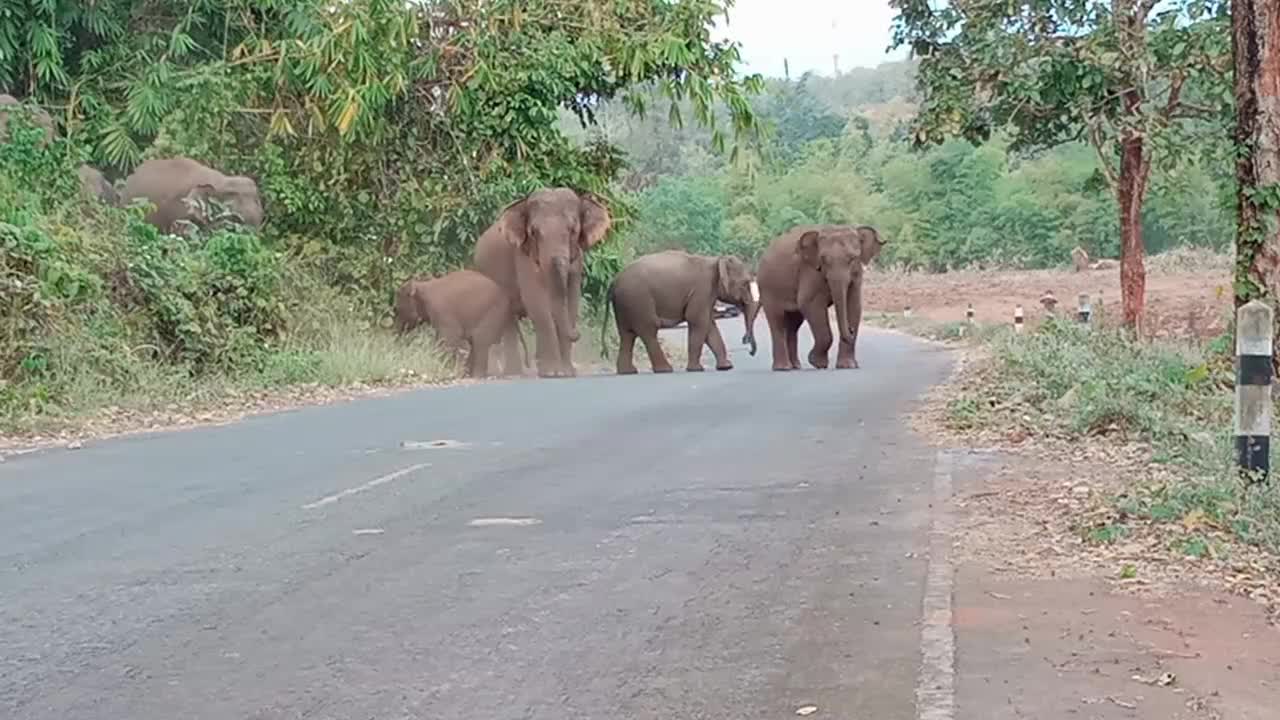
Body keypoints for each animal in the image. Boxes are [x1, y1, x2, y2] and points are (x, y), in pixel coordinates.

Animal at [391, 267, 527, 376]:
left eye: (397, 309)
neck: (422, 286)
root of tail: (508, 301)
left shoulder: (442, 311)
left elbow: (449, 338)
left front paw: (444, 369)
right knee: (476, 344)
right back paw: (467, 374)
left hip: (492, 313)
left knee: (480, 342)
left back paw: (476, 376)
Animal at [473, 184, 611, 376]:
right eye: (533, 232)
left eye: (573, 230)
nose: (577, 334)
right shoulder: (522, 256)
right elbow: (538, 303)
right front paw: (553, 373)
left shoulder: (577, 260)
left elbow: (572, 301)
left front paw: (567, 372)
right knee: (508, 320)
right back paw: (515, 372)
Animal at [601, 251, 757, 371]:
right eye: (745, 283)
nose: (748, 347)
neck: (715, 259)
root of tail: (613, 282)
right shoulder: (702, 290)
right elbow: (698, 321)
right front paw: (696, 369)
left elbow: (709, 325)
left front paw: (726, 367)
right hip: (638, 301)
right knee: (648, 331)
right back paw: (665, 369)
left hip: (624, 305)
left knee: (627, 335)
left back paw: (628, 371)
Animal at [752, 222, 885, 368]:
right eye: (823, 259)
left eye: (852, 258)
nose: (850, 330)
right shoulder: (810, 271)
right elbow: (810, 303)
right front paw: (817, 363)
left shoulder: (857, 276)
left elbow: (854, 305)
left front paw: (848, 366)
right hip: (767, 288)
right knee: (778, 321)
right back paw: (783, 368)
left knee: (794, 323)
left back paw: (795, 366)